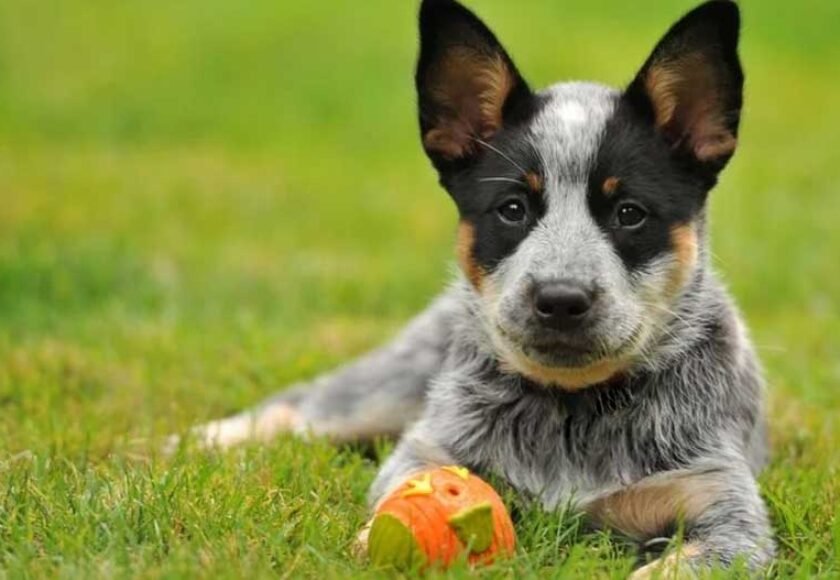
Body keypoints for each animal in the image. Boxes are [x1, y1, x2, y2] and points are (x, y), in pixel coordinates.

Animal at [182, 0, 776, 572]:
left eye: (630, 213)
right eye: (512, 209)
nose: (560, 300)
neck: (571, 415)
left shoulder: (724, 512)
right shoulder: (425, 452)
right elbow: (384, 516)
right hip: (389, 387)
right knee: (301, 407)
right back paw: (196, 442)